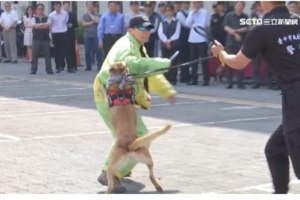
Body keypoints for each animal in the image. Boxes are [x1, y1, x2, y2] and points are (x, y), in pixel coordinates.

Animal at [99, 61, 171, 194]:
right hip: (148, 159)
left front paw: (102, 86)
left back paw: (109, 190)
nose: (111, 64)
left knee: (110, 181)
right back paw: (158, 187)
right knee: (151, 174)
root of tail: (130, 144)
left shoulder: (107, 100)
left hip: (113, 165)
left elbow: (103, 90)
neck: (120, 83)